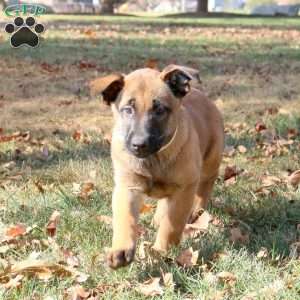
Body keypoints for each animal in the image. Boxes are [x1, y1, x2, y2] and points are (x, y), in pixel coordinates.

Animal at [90, 65, 224, 270]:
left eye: (159, 109)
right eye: (128, 110)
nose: (139, 144)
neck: (154, 159)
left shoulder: (185, 188)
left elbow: (172, 224)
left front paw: (160, 250)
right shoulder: (127, 187)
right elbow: (125, 218)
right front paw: (121, 249)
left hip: (210, 160)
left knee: (206, 184)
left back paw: (196, 210)